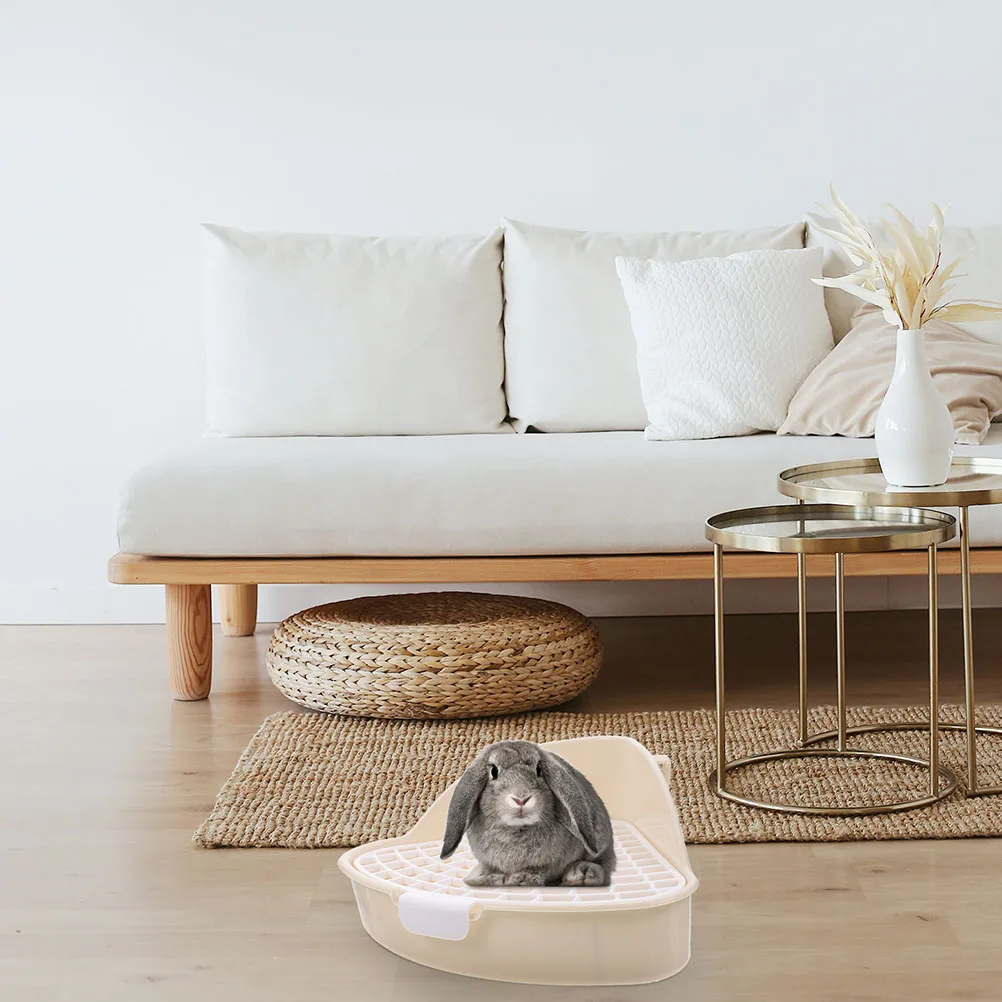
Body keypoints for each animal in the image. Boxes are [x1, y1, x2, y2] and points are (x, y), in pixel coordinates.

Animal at [440, 739, 616, 887]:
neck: (516, 829)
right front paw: (489, 878)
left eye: (538, 769)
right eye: (494, 771)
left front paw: (522, 879)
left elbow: (539, 869)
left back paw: (582, 874)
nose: (521, 799)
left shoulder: (545, 863)